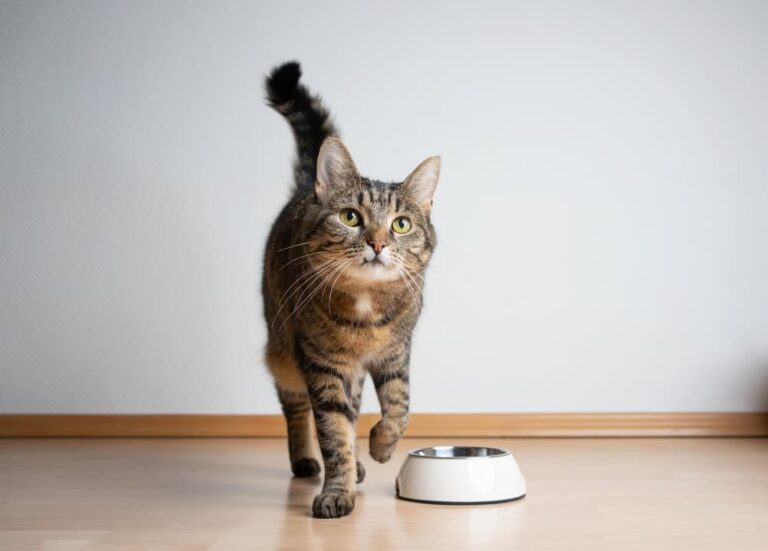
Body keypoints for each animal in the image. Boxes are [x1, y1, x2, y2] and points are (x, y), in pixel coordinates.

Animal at [260, 62, 438, 520]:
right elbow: (332, 431)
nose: (377, 243)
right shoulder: (322, 365)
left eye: (401, 224)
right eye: (351, 217)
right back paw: (306, 460)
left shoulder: (395, 354)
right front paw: (336, 491)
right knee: (295, 407)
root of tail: (306, 187)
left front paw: (381, 448)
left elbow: (399, 407)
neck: (366, 307)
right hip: (284, 353)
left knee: (355, 409)